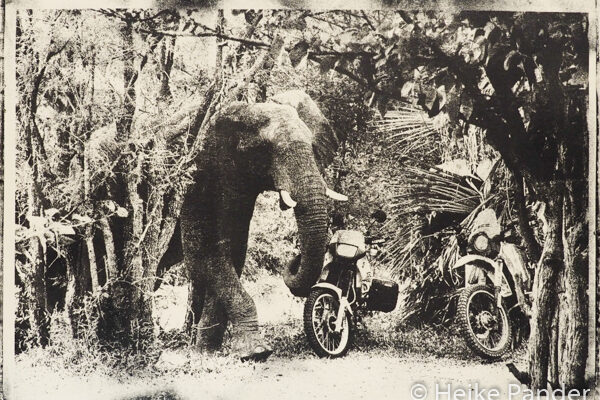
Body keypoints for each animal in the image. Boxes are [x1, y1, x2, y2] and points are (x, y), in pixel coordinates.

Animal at [158, 90, 346, 360]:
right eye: (264, 149)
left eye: (313, 146)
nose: (296, 256)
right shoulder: (195, 174)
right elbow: (203, 254)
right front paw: (255, 352)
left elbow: (233, 252)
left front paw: (206, 352)